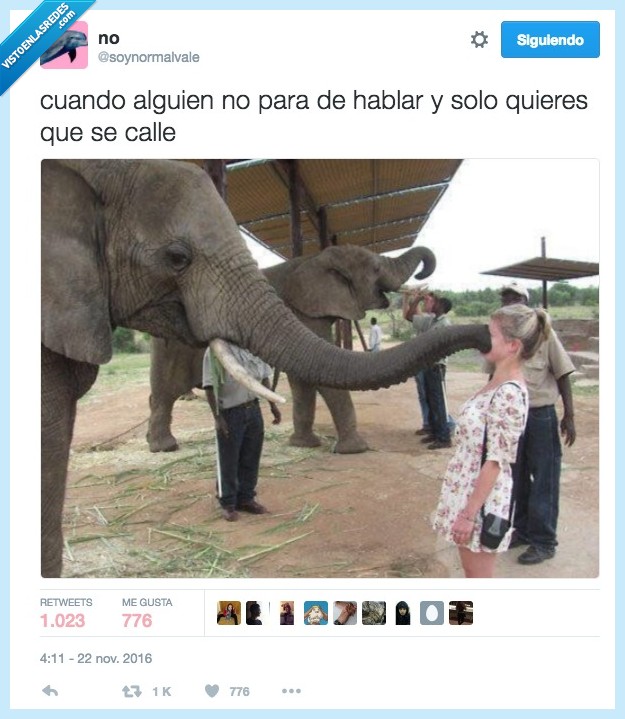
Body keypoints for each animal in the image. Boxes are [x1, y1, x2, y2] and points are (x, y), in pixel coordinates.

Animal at [147, 244, 436, 454]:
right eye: (376, 268)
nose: (422, 278)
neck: (316, 258)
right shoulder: (304, 311)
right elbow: (322, 373)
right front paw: (356, 450)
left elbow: (304, 379)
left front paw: (304, 444)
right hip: (172, 347)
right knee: (166, 391)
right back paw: (164, 447)